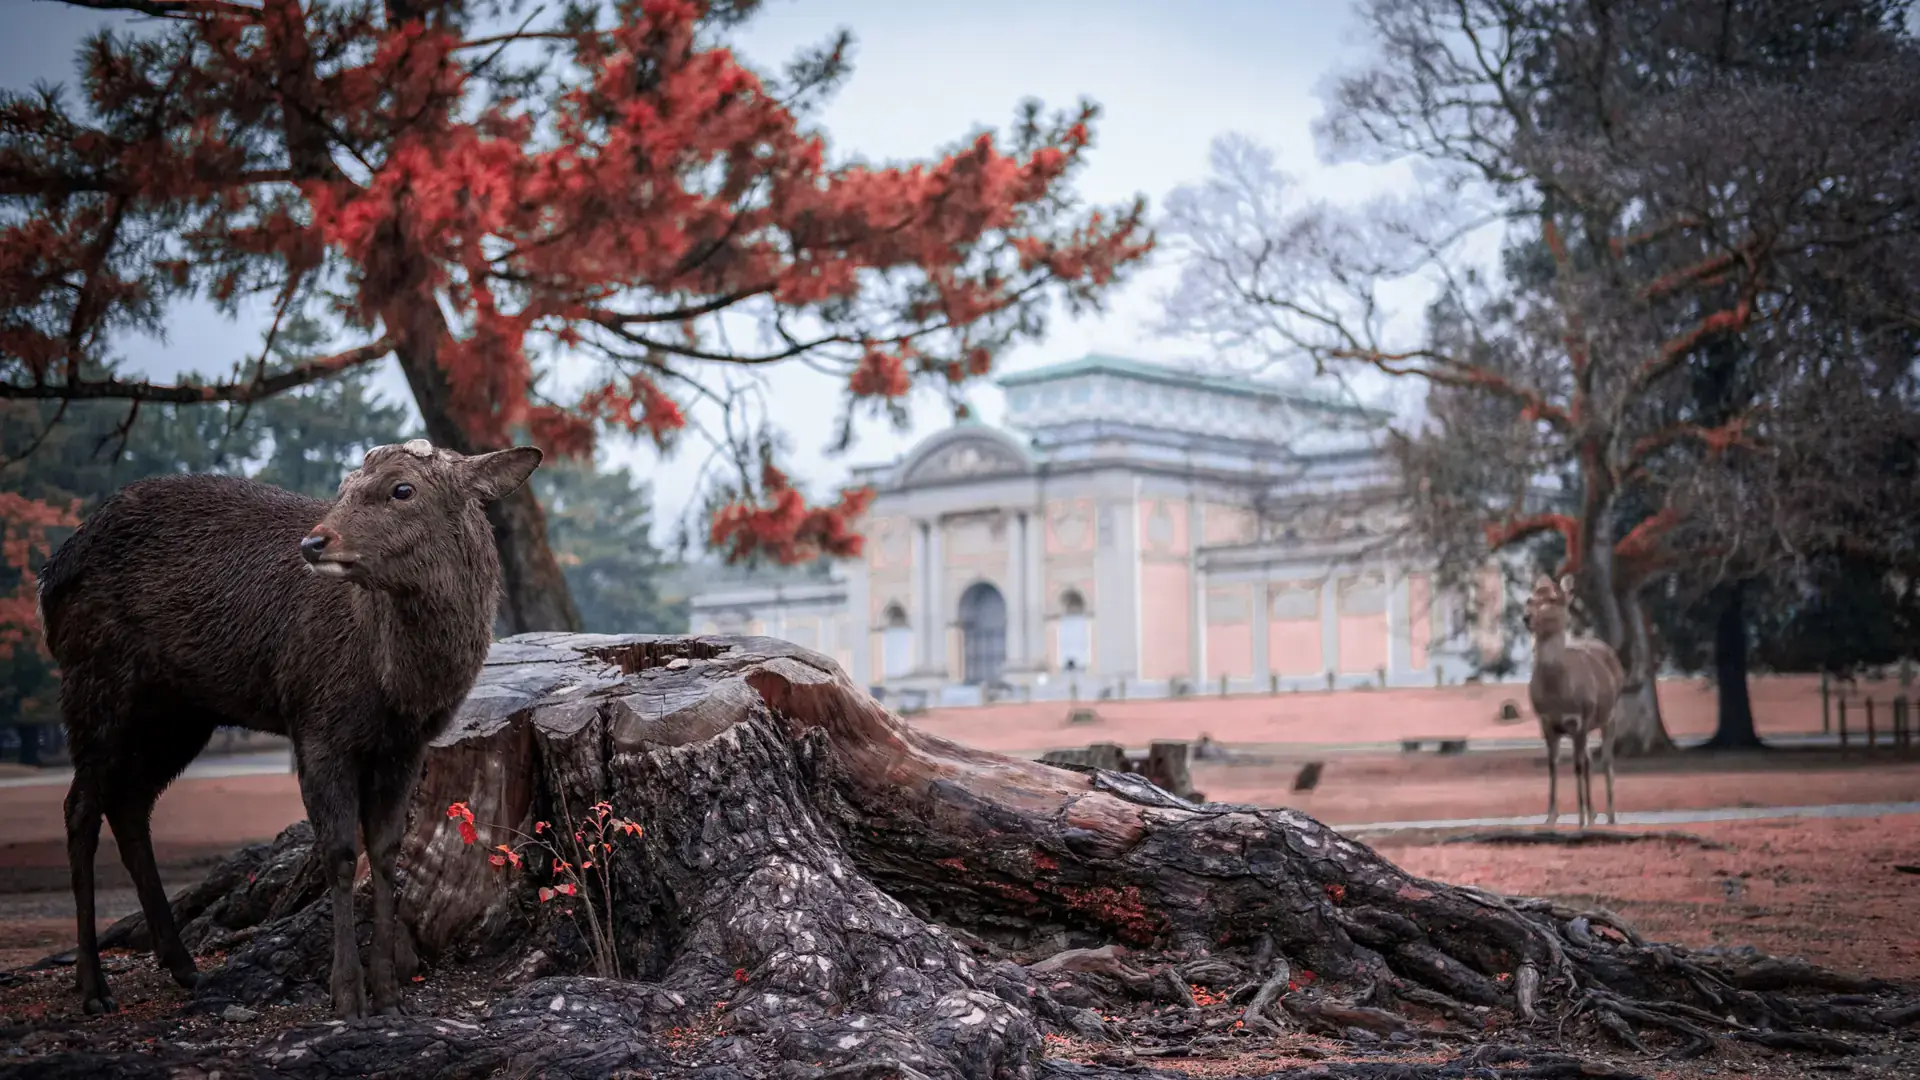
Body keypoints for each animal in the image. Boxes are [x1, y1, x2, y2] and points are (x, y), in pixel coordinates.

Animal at [36, 439, 541, 1019]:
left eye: (402, 489)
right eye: (343, 486)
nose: (314, 542)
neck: (397, 682)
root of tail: (50, 574)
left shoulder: (406, 745)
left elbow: (387, 853)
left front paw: (390, 993)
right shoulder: (317, 722)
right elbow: (340, 854)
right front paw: (347, 995)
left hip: (177, 713)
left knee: (129, 804)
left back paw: (183, 964)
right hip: (97, 683)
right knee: (79, 806)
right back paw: (94, 986)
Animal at [1522, 574, 1625, 828]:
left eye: (1552, 598)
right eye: (1529, 598)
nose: (1526, 617)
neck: (1558, 696)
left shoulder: (1580, 718)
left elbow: (1577, 765)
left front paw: (1580, 818)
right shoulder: (1546, 722)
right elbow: (1553, 765)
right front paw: (1551, 816)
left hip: (1610, 714)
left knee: (1606, 759)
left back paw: (1609, 815)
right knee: (1589, 759)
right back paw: (1594, 813)